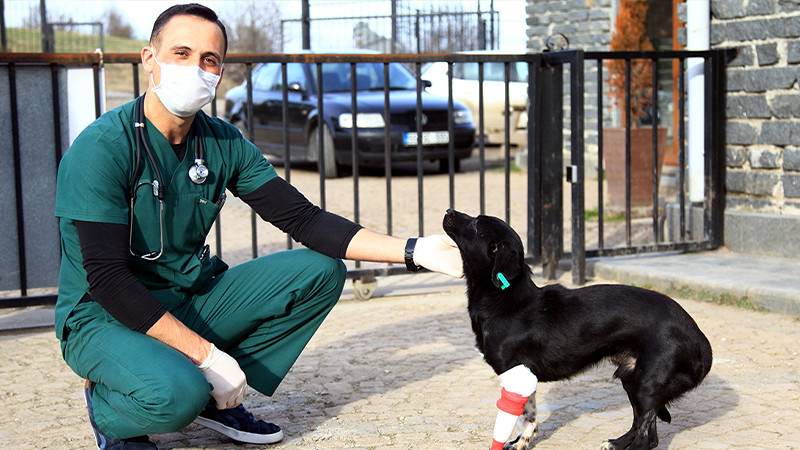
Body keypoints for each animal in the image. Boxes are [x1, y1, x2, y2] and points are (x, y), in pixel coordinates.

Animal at [444, 210, 712, 450]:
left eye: (477, 224)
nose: (448, 211)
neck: (506, 300)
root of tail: (700, 341)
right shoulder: (525, 377)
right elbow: (529, 417)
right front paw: (521, 443)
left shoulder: (514, 373)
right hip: (632, 379)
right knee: (641, 425)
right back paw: (615, 443)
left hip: (647, 384)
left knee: (648, 438)